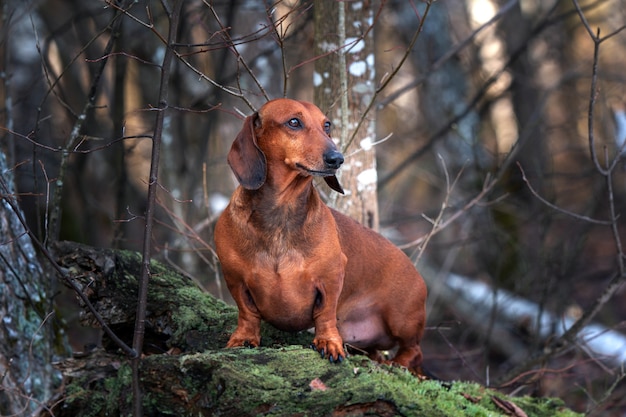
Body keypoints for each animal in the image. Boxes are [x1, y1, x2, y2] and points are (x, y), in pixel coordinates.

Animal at [213, 99, 424, 372]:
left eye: (327, 125)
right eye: (294, 122)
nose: (337, 158)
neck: (281, 213)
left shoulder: (331, 276)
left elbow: (325, 314)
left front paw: (329, 343)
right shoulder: (235, 278)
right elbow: (247, 313)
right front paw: (243, 338)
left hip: (402, 319)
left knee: (414, 351)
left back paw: (397, 364)